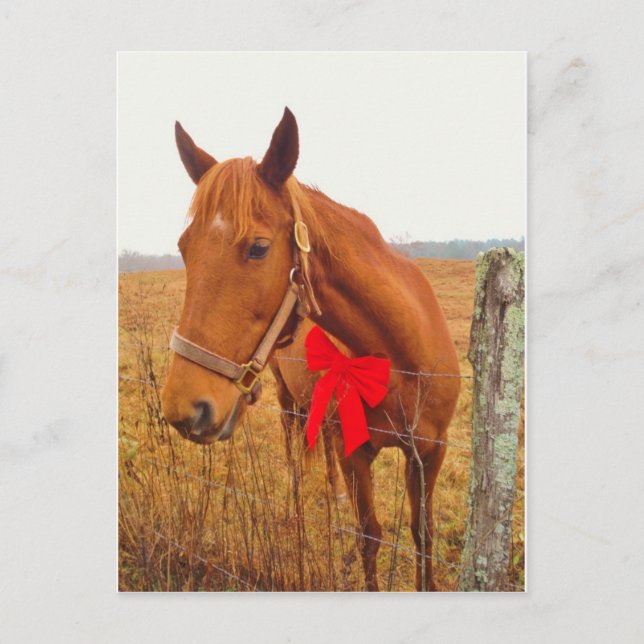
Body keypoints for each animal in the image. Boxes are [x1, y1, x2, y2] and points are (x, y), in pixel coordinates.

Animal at [161, 108, 460, 591]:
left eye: (259, 248)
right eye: (184, 248)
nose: (183, 407)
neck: (402, 361)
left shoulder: (431, 451)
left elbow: (423, 534)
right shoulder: (358, 453)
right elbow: (371, 536)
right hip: (287, 401)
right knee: (294, 453)